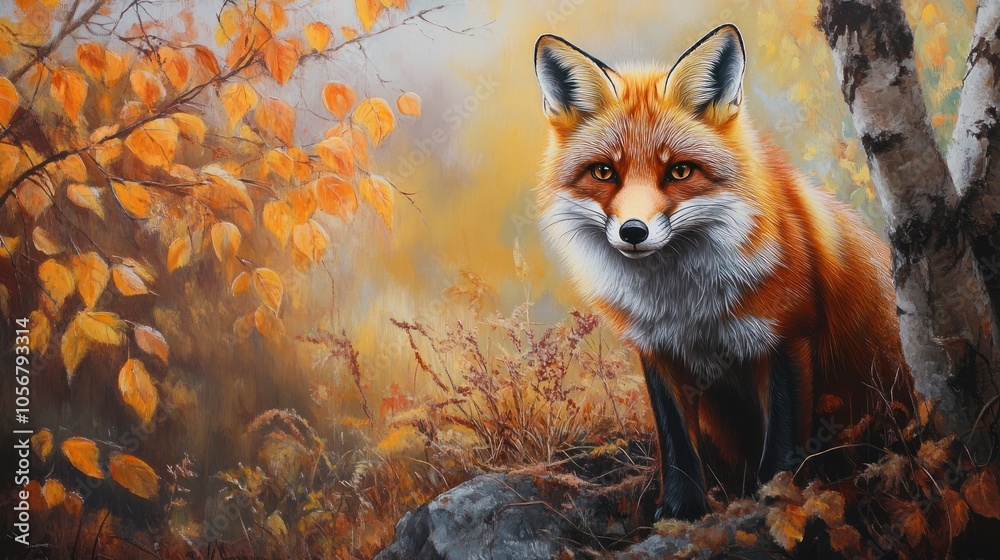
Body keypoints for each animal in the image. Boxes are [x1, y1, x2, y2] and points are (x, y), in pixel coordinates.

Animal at [533, 24, 915, 520]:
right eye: (603, 172)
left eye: (679, 171)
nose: (633, 231)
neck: (686, 304)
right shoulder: (658, 349)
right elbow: (676, 443)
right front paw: (681, 509)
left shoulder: (787, 334)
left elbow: (782, 443)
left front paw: (773, 499)